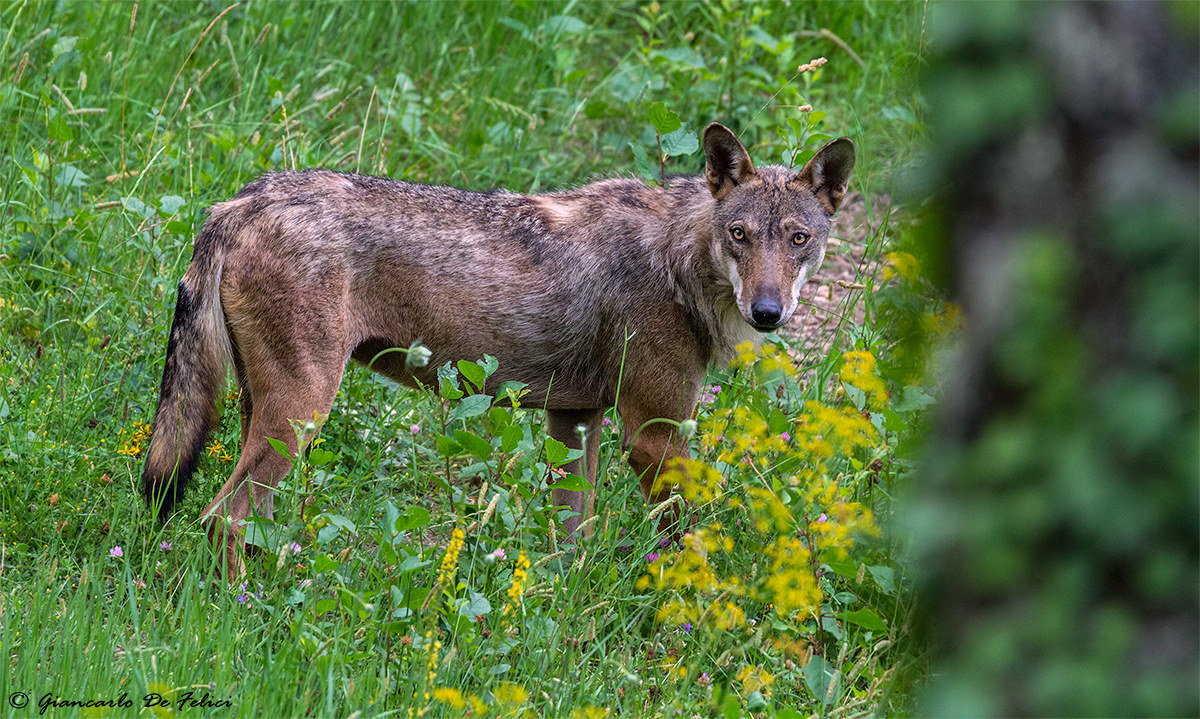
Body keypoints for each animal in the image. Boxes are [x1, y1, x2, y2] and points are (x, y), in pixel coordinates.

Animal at [141, 122, 854, 577]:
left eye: (797, 239)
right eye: (740, 235)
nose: (768, 313)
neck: (681, 261)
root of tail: (238, 203)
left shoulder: (575, 421)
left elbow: (570, 545)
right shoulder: (654, 436)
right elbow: (691, 547)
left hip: (267, 414)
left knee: (244, 518)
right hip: (302, 413)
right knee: (222, 518)